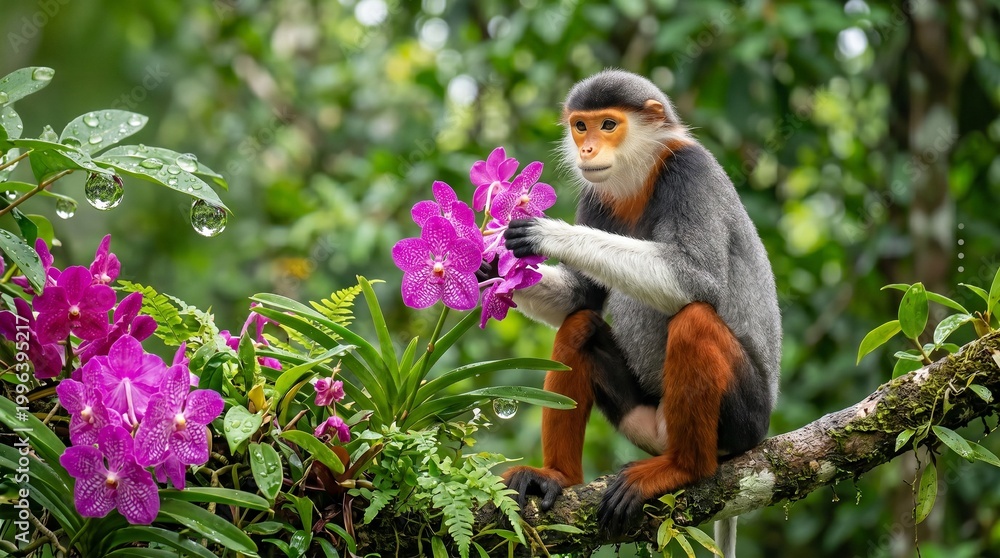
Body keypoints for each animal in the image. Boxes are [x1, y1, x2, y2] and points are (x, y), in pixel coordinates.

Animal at [500, 69, 781, 557]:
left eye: (609, 125)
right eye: (581, 126)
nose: (587, 150)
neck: (643, 177)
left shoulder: (690, 172)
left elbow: (696, 278)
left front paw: (544, 232)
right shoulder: (597, 193)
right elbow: (581, 298)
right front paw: (485, 265)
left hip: (746, 421)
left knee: (694, 319)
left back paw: (685, 469)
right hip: (643, 419)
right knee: (580, 326)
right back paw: (556, 478)